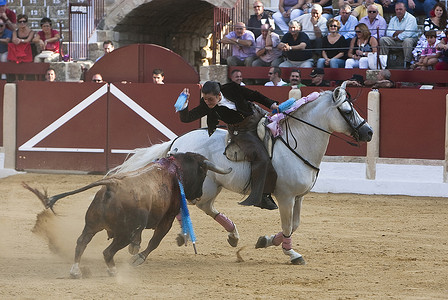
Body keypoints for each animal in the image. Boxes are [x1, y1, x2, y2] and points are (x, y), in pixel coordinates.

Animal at [23, 152, 231, 278]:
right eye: (203, 173)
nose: (198, 195)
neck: (173, 171)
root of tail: (111, 185)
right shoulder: (168, 218)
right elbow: (155, 241)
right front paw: (138, 258)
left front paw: (135, 249)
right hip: (123, 232)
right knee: (108, 251)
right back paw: (113, 271)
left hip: (91, 225)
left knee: (81, 242)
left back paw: (76, 271)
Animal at [114, 83, 372, 264]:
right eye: (347, 110)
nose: (369, 132)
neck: (298, 144)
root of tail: (177, 142)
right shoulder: (286, 197)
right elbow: (288, 226)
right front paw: (291, 253)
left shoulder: (298, 197)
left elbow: (295, 225)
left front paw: (266, 241)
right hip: (202, 186)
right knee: (186, 204)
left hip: (210, 186)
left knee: (203, 207)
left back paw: (226, 235)